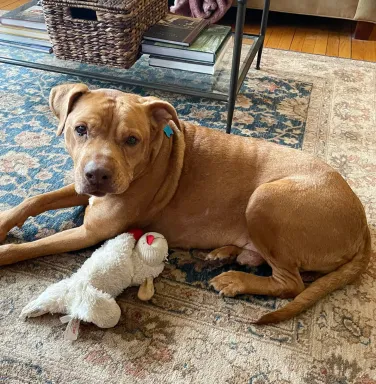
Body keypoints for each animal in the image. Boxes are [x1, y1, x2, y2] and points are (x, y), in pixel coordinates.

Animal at [0, 84, 370, 324]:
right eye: (80, 130)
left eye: (131, 140)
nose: (98, 175)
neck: (152, 156)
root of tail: (364, 223)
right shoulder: (81, 187)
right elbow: (35, 198)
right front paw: (6, 220)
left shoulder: (90, 231)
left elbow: (32, 247)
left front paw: (6, 252)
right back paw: (228, 253)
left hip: (266, 199)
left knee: (291, 284)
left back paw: (235, 279)